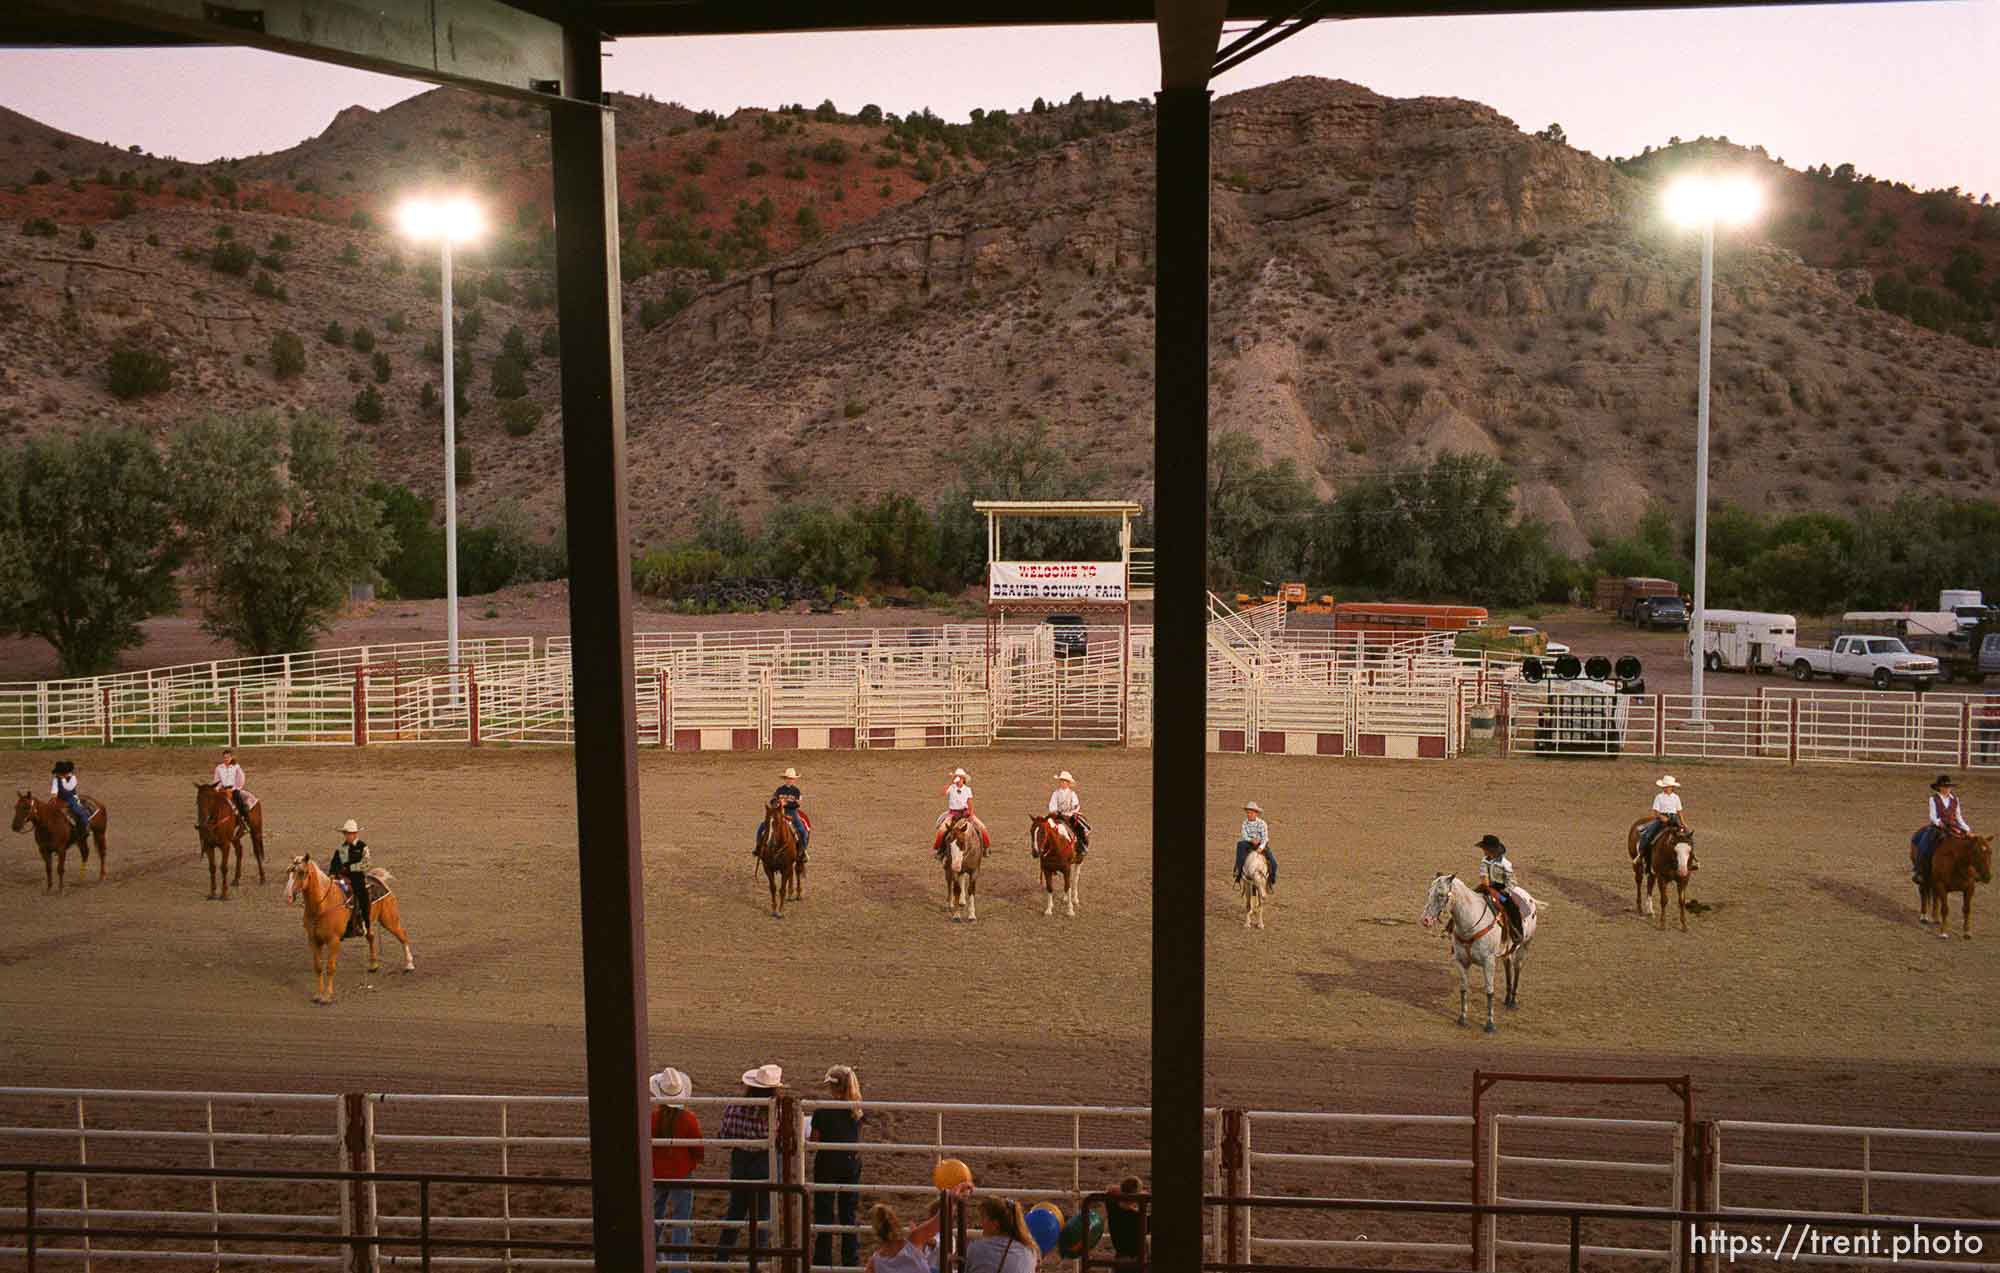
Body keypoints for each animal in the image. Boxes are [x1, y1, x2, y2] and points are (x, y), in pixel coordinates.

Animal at [284, 856, 416, 1004]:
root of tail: (378, 878)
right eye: (288, 871)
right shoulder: (313, 940)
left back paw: (409, 965)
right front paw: (318, 994)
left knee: (402, 935)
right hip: (369, 922)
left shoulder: (334, 941)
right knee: (371, 936)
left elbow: (330, 967)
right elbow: (318, 967)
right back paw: (373, 965)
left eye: (302, 872)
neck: (323, 905)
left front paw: (327, 996)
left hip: (389, 919)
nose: (288, 896)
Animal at [752, 792, 800, 920]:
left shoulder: (785, 867)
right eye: (766, 821)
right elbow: (773, 888)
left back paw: (798, 894)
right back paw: (791, 894)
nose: (769, 843)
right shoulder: (768, 867)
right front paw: (774, 909)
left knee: (797, 871)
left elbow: (781, 889)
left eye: (777, 821)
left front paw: (780, 911)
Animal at [1416, 876, 1536, 1032]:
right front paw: (1462, 1018)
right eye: (1428, 892)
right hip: (1507, 950)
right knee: (1508, 966)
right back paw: (1507, 998)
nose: (1425, 920)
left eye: (1441, 894)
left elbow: (1489, 992)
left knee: (1517, 968)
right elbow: (1463, 989)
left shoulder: (1488, 962)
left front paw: (1490, 1024)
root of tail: (1527, 896)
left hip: (1524, 946)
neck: (1470, 923)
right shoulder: (1461, 961)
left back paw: (1513, 1001)